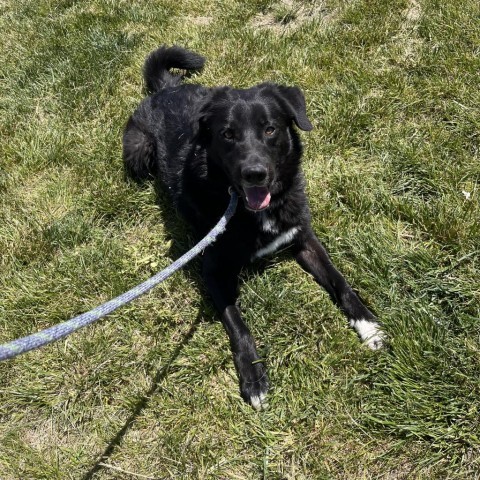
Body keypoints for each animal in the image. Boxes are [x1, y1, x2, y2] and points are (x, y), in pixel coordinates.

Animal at [123, 45, 382, 408]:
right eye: (228, 134)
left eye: (270, 129)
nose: (255, 174)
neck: (254, 210)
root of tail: (166, 89)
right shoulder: (213, 271)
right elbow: (238, 325)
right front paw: (254, 377)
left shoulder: (304, 238)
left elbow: (340, 281)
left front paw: (367, 324)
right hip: (137, 153)